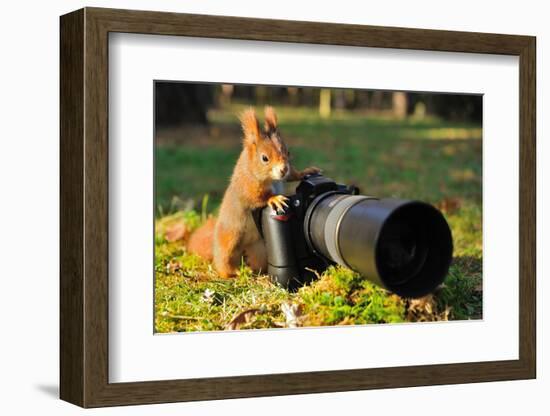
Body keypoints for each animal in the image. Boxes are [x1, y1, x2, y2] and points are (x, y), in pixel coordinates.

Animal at [188, 105, 322, 278]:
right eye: (264, 158)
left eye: (288, 152)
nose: (283, 169)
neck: (271, 179)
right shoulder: (248, 184)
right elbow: (256, 197)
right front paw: (274, 199)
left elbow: (292, 175)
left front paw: (306, 172)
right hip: (229, 238)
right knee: (223, 260)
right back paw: (233, 273)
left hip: (259, 248)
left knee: (257, 261)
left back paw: (257, 271)